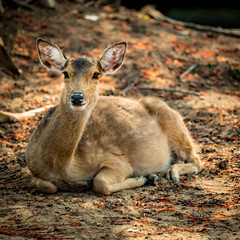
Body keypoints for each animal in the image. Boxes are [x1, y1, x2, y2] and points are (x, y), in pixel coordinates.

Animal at [25, 38, 202, 195]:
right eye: (65, 73)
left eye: (96, 74)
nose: (76, 97)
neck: (61, 167)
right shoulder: (33, 170)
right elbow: (46, 186)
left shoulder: (116, 159)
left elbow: (99, 182)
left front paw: (140, 178)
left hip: (174, 122)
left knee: (197, 160)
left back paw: (169, 174)